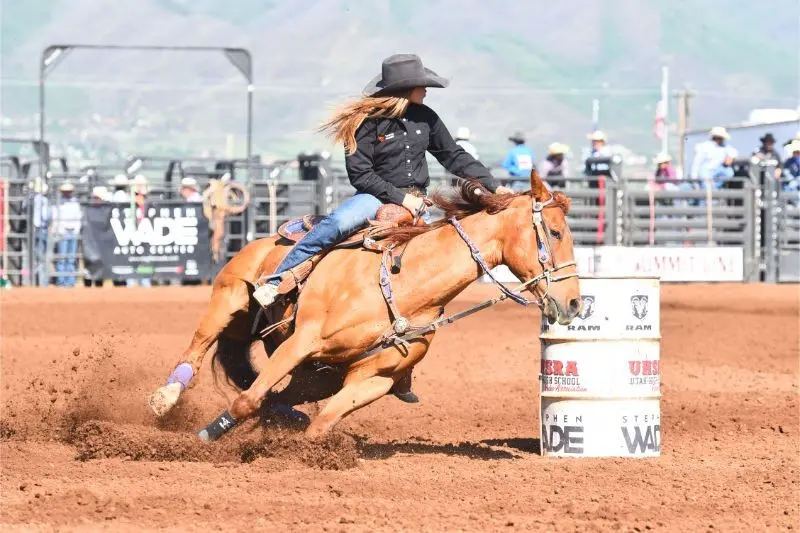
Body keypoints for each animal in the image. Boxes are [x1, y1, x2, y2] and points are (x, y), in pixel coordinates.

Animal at [150, 170, 580, 440]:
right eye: (556, 232)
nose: (575, 303)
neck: (399, 288)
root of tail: (263, 240)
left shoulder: (375, 378)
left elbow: (322, 422)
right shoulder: (300, 342)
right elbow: (245, 401)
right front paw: (204, 437)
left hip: (312, 373)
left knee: (279, 397)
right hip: (228, 301)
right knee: (198, 349)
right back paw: (164, 399)